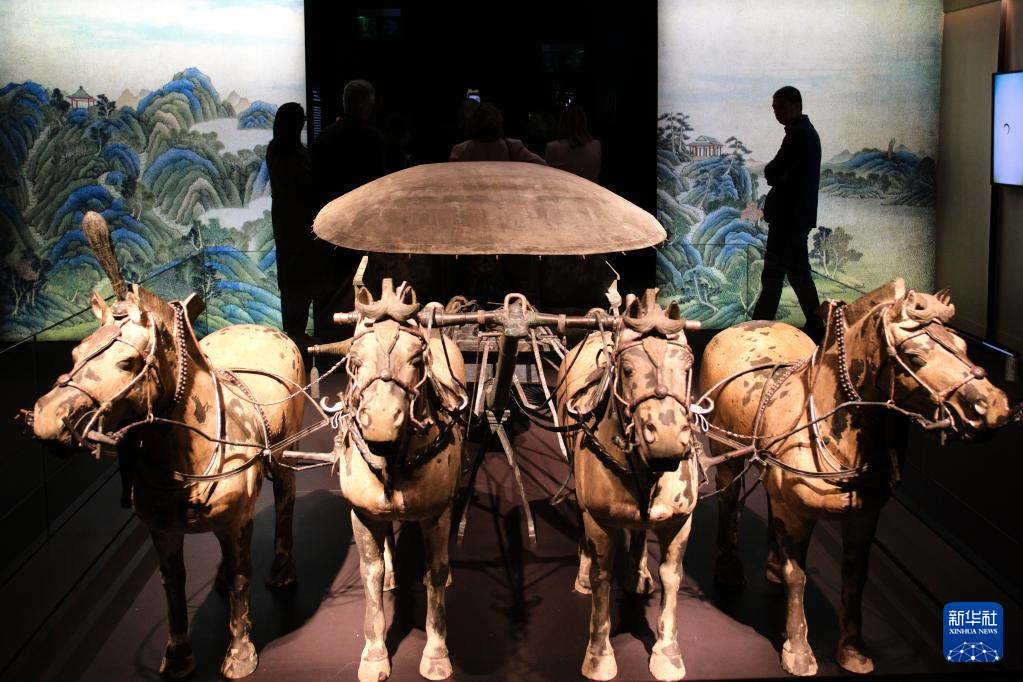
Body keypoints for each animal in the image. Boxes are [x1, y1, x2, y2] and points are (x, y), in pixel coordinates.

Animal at [30, 213, 305, 679]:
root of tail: (268, 328)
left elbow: (242, 579)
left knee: (285, 498)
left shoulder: (237, 521)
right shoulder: (161, 531)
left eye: (128, 362)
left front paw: (239, 654)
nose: (49, 417)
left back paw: (283, 570)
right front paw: (178, 657)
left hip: (285, 455)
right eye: (75, 353)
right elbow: (173, 584)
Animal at [328, 279, 468, 682]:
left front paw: (436, 654)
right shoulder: (362, 515)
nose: (380, 424)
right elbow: (370, 574)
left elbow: (435, 572)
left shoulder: (436, 514)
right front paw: (375, 654)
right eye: (355, 361)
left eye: (417, 361)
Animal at [556, 290, 700, 682]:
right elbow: (603, 577)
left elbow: (672, 577)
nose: (666, 439)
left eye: (687, 367)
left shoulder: (681, 522)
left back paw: (638, 574)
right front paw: (599, 656)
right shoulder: (600, 521)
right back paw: (584, 574)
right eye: (628, 368)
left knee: (638, 531)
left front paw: (667, 654)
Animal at [700, 278, 1016, 676]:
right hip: (723, 451)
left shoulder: (863, 517)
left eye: (963, 347)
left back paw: (770, 565)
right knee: (729, 501)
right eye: (914, 356)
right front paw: (799, 653)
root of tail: (745, 324)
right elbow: (797, 575)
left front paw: (853, 652)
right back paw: (728, 571)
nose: (995, 408)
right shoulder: (796, 514)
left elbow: (854, 577)